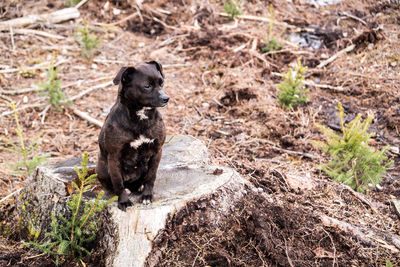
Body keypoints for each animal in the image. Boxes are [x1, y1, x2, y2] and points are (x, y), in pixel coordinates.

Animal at [96, 60, 169, 211]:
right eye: (147, 86)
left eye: (161, 82)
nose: (166, 98)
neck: (140, 118)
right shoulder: (114, 157)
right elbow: (118, 182)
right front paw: (123, 201)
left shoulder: (157, 151)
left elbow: (151, 177)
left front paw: (147, 195)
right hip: (102, 168)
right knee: (114, 185)